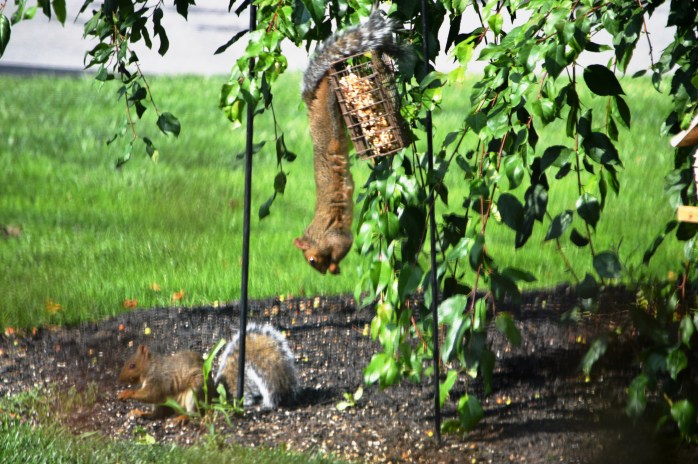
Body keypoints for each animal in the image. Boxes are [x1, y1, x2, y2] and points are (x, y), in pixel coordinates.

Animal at [294, 10, 404, 275]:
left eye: (311, 260)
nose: (322, 273)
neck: (318, 236)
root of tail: (311, 103)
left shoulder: (337, 235)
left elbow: (344, 245)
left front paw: (334, 267)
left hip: (328, 108)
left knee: (328, 86)